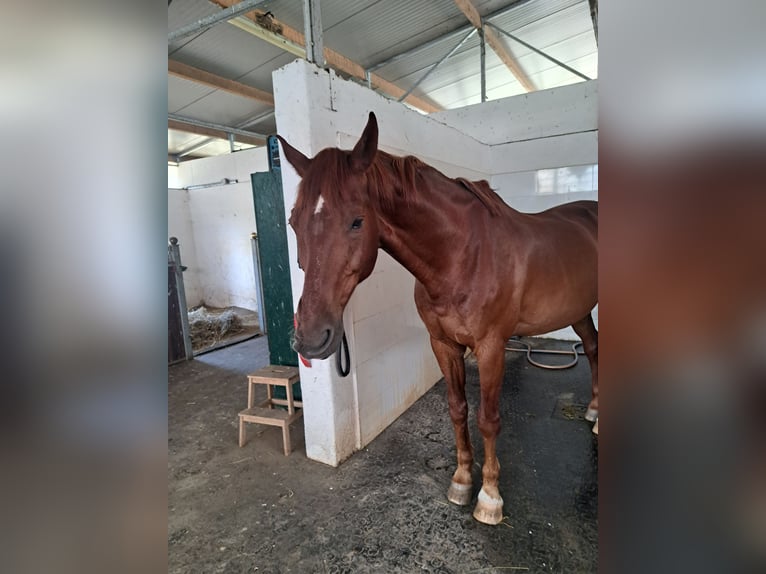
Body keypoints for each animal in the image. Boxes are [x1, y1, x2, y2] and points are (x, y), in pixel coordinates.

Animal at [278, 112, 598, 525]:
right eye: (293, 221)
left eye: (356, 221)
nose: (311, 338)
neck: (462, 255)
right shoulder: (443, 344)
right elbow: (457, 410)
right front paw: (461, 481)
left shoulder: (491, 348)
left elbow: (488, 419)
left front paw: (490, 498)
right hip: (579, 310)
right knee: (592, 348)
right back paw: (594, 411)